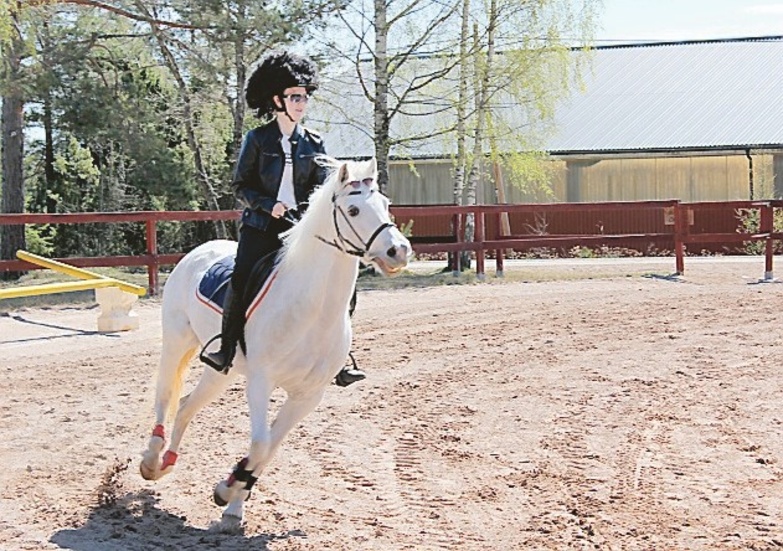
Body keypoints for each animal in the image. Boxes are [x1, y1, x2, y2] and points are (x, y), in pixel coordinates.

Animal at [141, 158, 414, 528]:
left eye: (386, 204)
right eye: (354, 210)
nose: (398, 251)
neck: (313, 311)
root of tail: (199, 251)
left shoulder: (308, 395)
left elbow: (269, 450)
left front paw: (232, 496)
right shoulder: (261, 381)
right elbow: (260, 443)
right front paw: (228, 492)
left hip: (222, 370)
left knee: (185, 406)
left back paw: (168, 462)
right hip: (176, 341)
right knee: (165, 395)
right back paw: (151, 461)